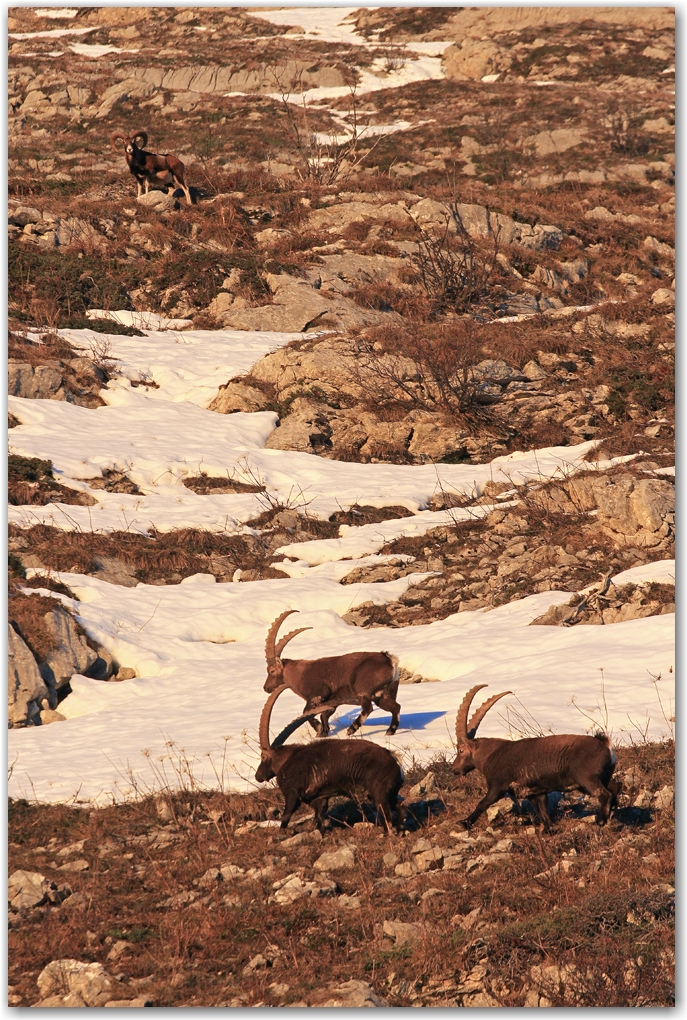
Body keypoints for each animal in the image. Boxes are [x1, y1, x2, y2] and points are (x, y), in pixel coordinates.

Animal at [253, 681, 403, 832]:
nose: (258, 776)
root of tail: (396, 763)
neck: (287, 760)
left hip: (379, 794)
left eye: (263, 757)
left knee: (388, 815)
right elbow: (319, 818)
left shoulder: (292, 792)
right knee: (400, 806)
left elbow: (286, 816)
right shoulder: (319, 799)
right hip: (391, 794)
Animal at [262, 607, 401, 738]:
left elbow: (306, 713)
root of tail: (390, 660)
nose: (266, 688)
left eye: (271, 671)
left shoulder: (316, 696)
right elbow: (324, 716)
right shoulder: (332, 703)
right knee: (396, 707)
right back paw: (390, 731)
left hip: (364, 690)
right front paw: (322, 732)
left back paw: (351, 729)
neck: (300, 674)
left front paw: (319, 729)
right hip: (383, 695)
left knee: (368, 708)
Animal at [452, 685, 619, 828]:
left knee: (605, 794)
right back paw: (612, 814)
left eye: (460, 750)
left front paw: (465, 823)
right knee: (615, 788)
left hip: (586, 778)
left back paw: (601, 820)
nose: (454, 769)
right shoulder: (535, 792)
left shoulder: (498, 785)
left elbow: (483, 803)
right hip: (600, 777)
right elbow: (543, 813)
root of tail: (605, 744)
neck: (490, 754)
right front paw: (548, 829)